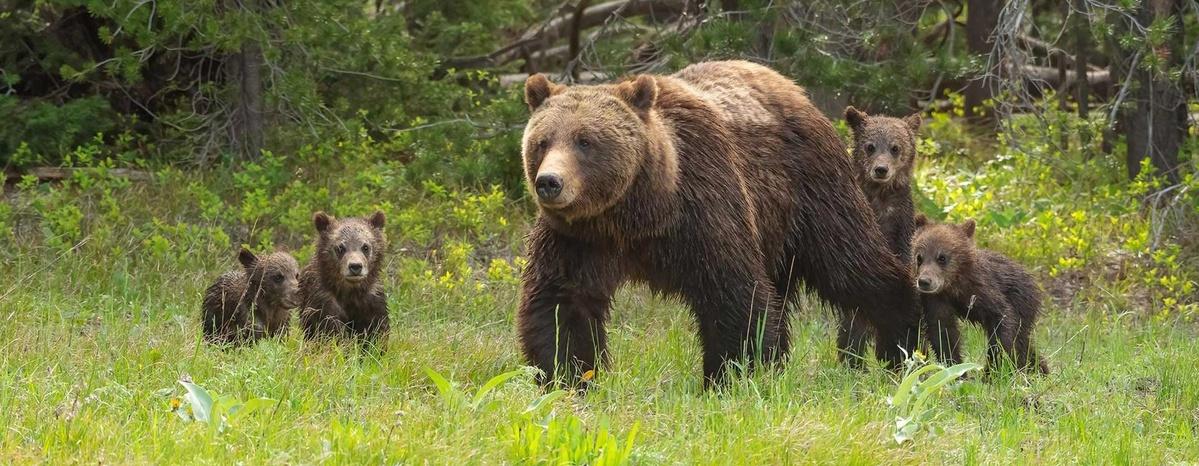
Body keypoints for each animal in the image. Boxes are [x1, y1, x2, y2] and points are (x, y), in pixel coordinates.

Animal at [515, 58, 916, 385]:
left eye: (585, 141)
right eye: (542, 141)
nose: (550, 182)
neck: (639, 213)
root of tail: (793, 88)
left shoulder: (704, 206)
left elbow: (732, 291)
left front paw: (731, 375)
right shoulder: (579, 237)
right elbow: (562, 301)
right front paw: (567, 375)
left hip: (811, 190)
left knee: (852, 263)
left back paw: (904, 337)